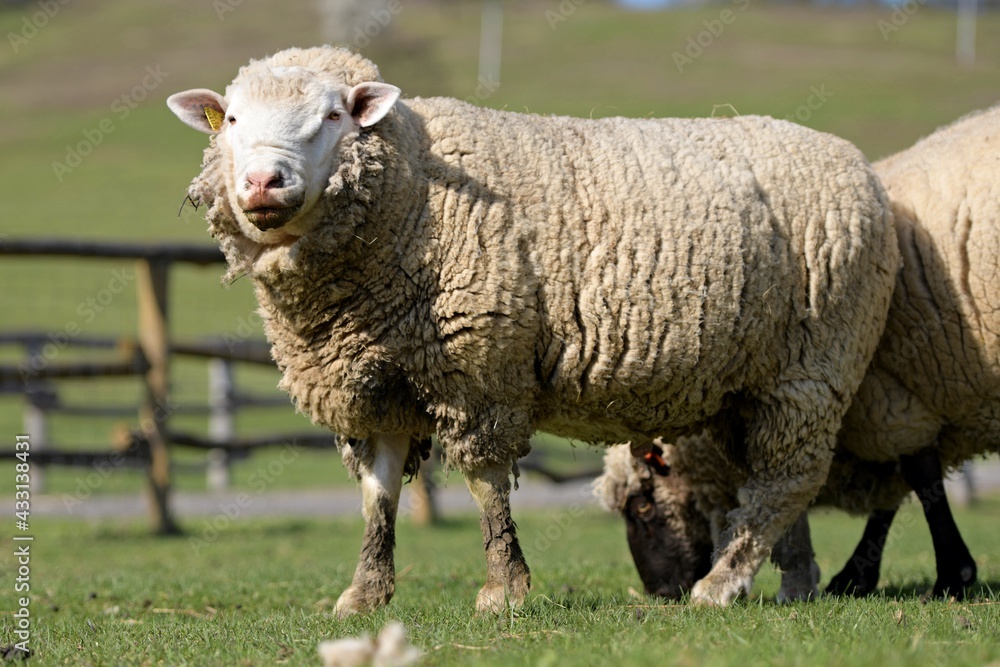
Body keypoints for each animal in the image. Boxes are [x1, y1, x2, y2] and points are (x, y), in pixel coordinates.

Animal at [166, 45, 898, 613]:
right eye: (232, 119)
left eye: (333, 115)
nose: (263, 181)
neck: (416, 193)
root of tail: (857, 164)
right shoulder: (375, 382)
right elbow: (378, 496)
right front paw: (364, 594)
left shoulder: (477, 365)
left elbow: (487, 483)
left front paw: (503, 591)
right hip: (749, 382)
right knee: (766, 482)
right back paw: (791, 581)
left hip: (813, 365)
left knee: (789, 478)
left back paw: (722, 585)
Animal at [597, 105, 1000, 602]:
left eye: (643, 503)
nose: (659, 590)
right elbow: (898, 485)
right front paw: (861, 574)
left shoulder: (887, 393)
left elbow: (916, 478)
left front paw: (946, 573)